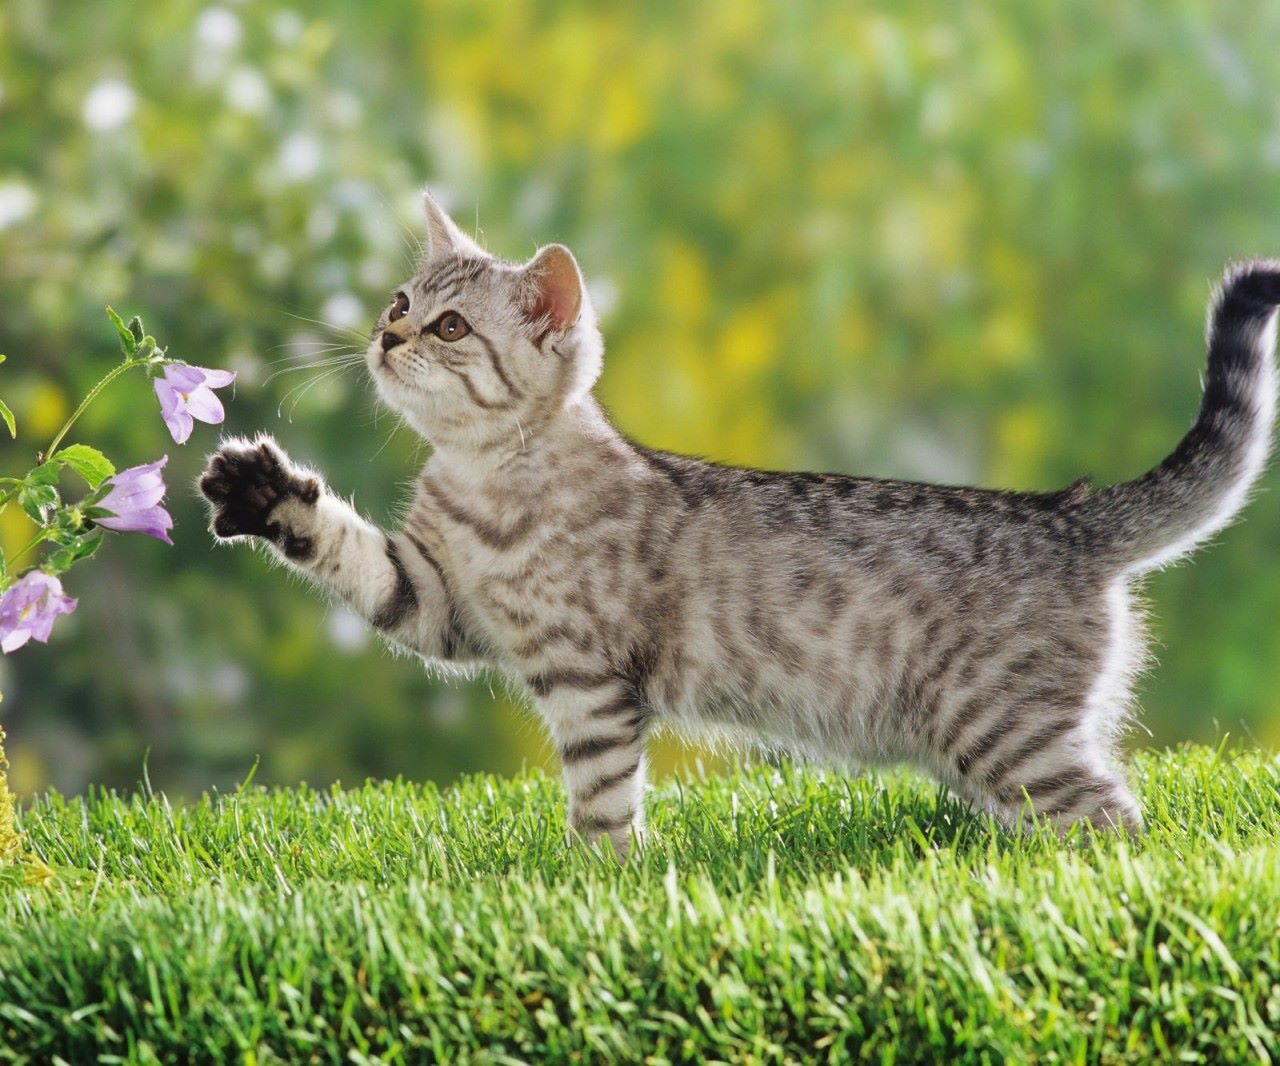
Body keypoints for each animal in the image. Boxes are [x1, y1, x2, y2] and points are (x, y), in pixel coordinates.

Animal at [199, 193, 1280, 854]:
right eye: (399, 299)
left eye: (451, 327)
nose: (386, 337)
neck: (486, 480)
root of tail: (1069, 514)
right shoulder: (437, 601)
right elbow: (348, 552)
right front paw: (262, 489)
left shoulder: (589, 679)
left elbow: (601, 798)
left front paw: (598, 880)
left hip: (1005, 735)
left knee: (1117, 826)